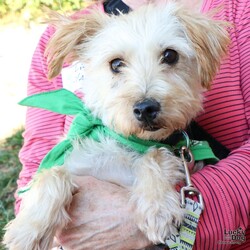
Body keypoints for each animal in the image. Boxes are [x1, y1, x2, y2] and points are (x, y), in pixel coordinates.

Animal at [2, 1, 229, 248]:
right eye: (116, 63)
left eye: (170, 55)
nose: (145, 108)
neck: (129, 142)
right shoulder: (76, 165)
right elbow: (53, 174)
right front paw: (28, 230)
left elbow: (155, 156)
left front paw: (158, 208)